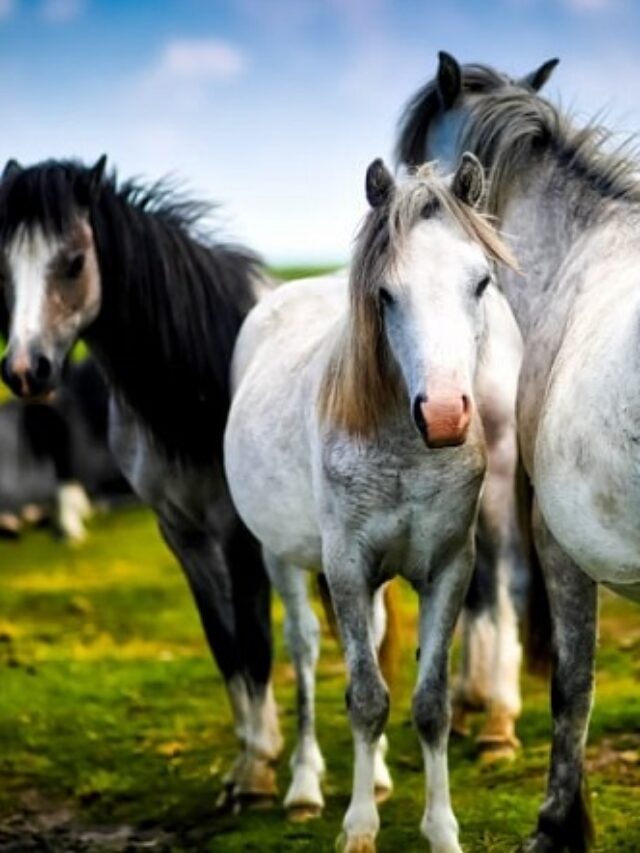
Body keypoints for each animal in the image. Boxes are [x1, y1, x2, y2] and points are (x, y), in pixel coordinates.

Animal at [0, 157, 283, 804]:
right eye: (3, 267)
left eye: (74, 261)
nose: (26, 371)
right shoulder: (181, 534)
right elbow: (225, 641)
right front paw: (247, 759)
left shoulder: (238, 534)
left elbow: (255, 640)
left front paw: (257, 773)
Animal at [224, 155, 517, 852]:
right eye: (385, 294)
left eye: (481, 282)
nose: (444, 415)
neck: (406, 450)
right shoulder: (347, 570)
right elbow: (365, 697)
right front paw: (358, 828)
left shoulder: (448, 569)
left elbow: (429, 702)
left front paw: (442, 829)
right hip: (283, 558)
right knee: (304, 651)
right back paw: (304, 787)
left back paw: (378, 775)